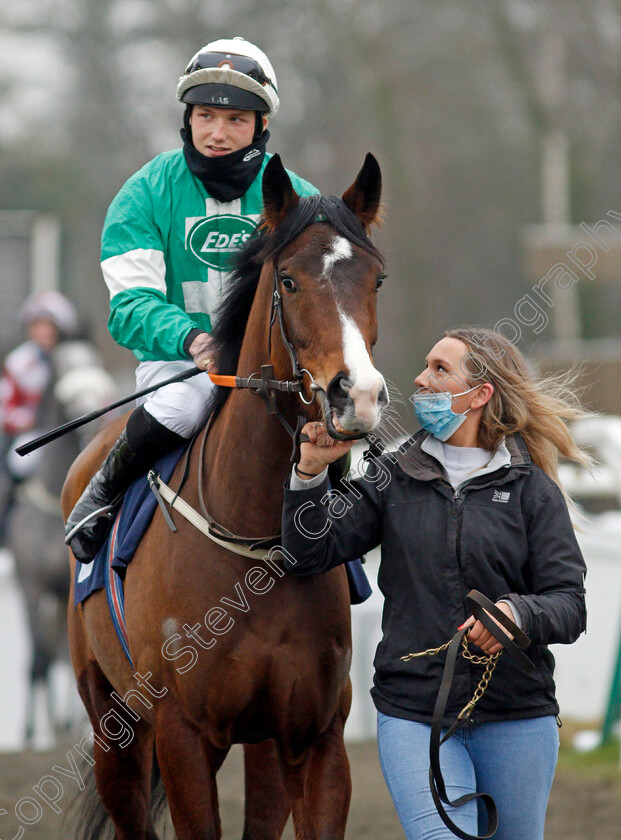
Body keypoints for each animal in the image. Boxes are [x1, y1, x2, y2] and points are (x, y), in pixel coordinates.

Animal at [61, 153, 382, 840]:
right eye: (288, 280)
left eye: (377, 279)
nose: (359, 396)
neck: (254, 543)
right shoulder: (182, 735)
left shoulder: (314, 737)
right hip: (113, 726)